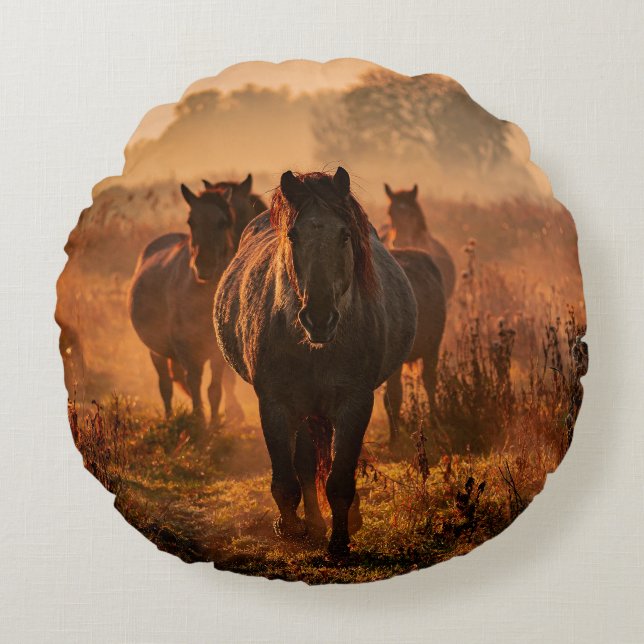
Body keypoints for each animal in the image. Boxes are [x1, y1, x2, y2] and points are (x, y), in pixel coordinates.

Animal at [128, 184, 235, 438]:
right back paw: (169, 419)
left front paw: (214, 425)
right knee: (165, 385)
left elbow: (214, 389)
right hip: (156, 351)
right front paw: (199, 425)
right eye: (191, 221)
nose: (204, 267)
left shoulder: (217, 353)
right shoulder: (189, 351)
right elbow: (194, 385)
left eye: (222, 222)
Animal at [214, 168, 417, 555]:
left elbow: (340, 479)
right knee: (306, 466)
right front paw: (292, 529)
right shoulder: (275, 404)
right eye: (293, 235)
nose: (319, 319)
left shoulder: (355, 403)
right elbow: (286, 480)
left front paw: (339, 543)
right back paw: (312, 524)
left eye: (345, 235)